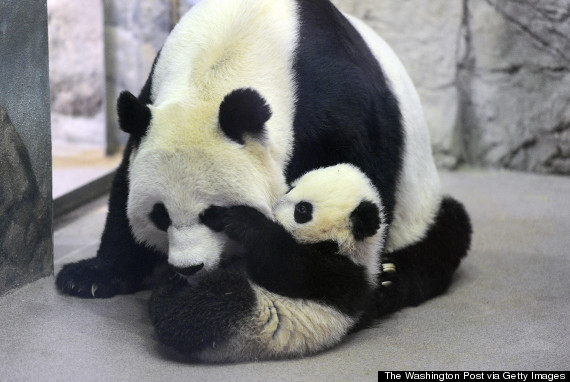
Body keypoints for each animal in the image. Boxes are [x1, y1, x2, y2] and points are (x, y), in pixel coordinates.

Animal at [56, 0, 470, 324]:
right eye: (160, 215)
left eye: (213, 214)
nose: (189, 268)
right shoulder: (152, 99)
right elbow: (123, 186)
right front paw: (90, 276)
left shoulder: (336, 99)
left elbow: (360, 182)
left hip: (421, 203)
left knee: (445, 234)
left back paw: (391, 281)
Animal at [149, 164, 392, 362]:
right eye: (290, 188)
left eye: (302, 209)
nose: (273, 209)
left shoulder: (337, 275)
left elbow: (285, 267)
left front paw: (241, 218)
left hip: (249, 324)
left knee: (214, 304)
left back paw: (166, 297)